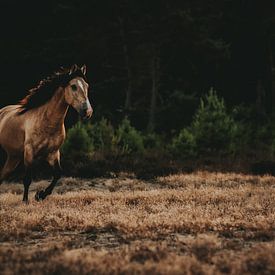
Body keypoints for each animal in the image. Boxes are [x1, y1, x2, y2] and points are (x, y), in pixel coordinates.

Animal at [0, 64, 93, 203]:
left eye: (87, 86)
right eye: (73, 86)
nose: (87, 112)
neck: (47, 122)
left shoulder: (53, 153)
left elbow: (57, 174)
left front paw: (40, 195)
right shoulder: (29, 152)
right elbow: (27, 179)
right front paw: (25, 201)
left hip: (13, 157)